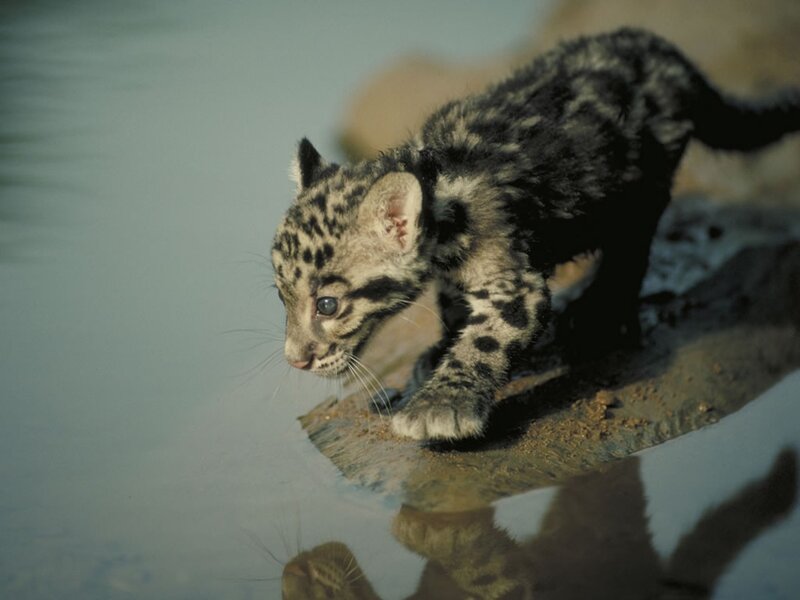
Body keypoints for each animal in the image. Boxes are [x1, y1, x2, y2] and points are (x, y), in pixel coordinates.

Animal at [271, 28, 800, 441]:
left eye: (327, 305)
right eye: (282, 298)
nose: (294, 360)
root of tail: (663, 50)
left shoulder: (514, 283)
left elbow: (487, 339)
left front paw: (441, 404)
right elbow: (453, 304)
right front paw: (441, 349)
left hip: (647, 179)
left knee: (634, 240)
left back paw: (600, 314)